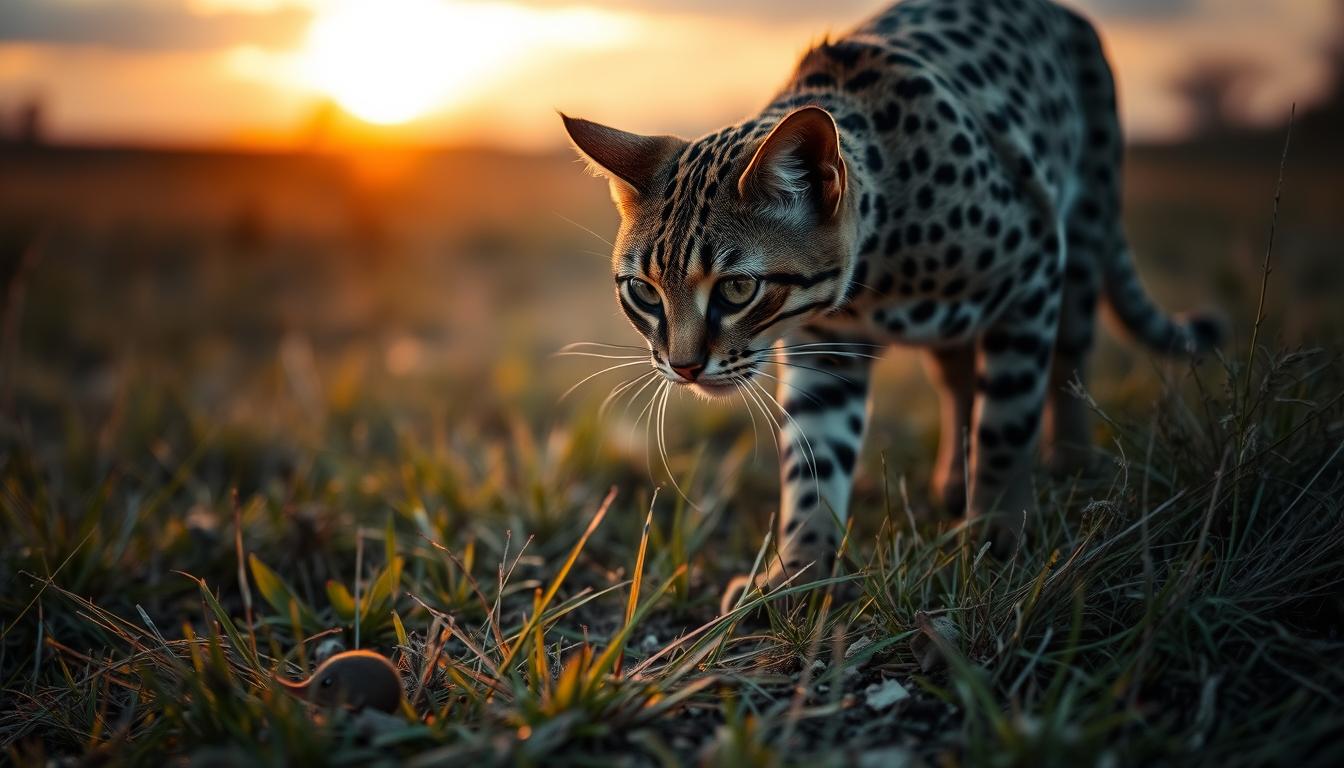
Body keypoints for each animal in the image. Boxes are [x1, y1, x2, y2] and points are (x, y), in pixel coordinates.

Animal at [556, 0, 1220, 599]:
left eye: (738, 288)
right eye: (643, 292)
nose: (684, 366)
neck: (876, 275)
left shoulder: (1033, 271)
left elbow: (1007, 422)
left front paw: (995, 537)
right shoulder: (823, 349)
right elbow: (813, 461)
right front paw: (796, 574)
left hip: (1081, 238)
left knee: (1067, 359)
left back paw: (1070, 462)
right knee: (957, 378)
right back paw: (954, 477)